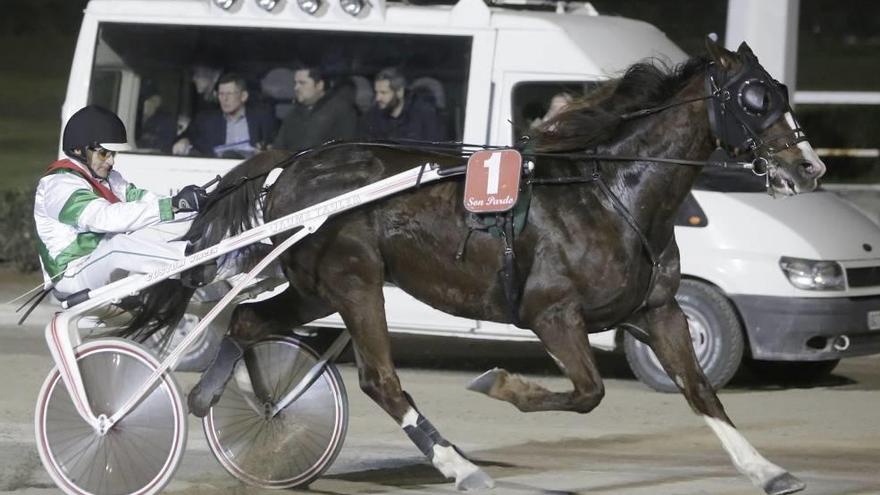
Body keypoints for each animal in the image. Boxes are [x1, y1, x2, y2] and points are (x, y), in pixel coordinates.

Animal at [122, 40, 824, 494]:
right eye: (754, 98)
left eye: (783, 92)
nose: (809, 167)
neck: (612, 194)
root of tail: (289, 164)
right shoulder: (551, 314)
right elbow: (588, 392)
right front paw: (500, 384)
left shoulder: (660, 310)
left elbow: (701, 389)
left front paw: (767, 470)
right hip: (355, 282)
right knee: (380, 380)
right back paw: (459, 466)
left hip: (317, 288)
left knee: (245, 321)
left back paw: (230, 400)